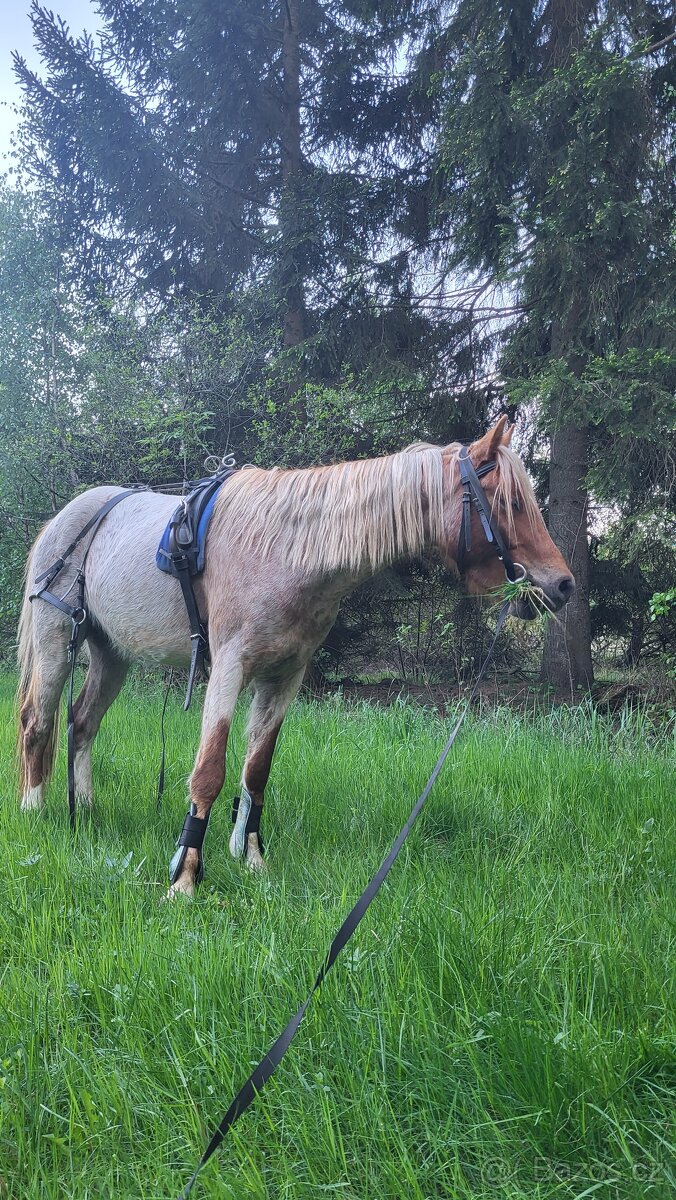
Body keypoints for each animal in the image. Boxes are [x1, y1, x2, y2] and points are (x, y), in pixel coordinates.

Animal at [17, 416, 574, 897]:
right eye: (511, 502)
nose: (563, 585)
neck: (287, 550)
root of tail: (61, 521)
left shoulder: (284, 676)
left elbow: (256, 771)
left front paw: (254, 861)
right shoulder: (229, 668)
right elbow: (209, 773)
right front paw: (185, 878)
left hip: (113, 654)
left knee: (81, 722)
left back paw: (85, 808)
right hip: (56, 641)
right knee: (37, 723)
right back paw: (35, 810)